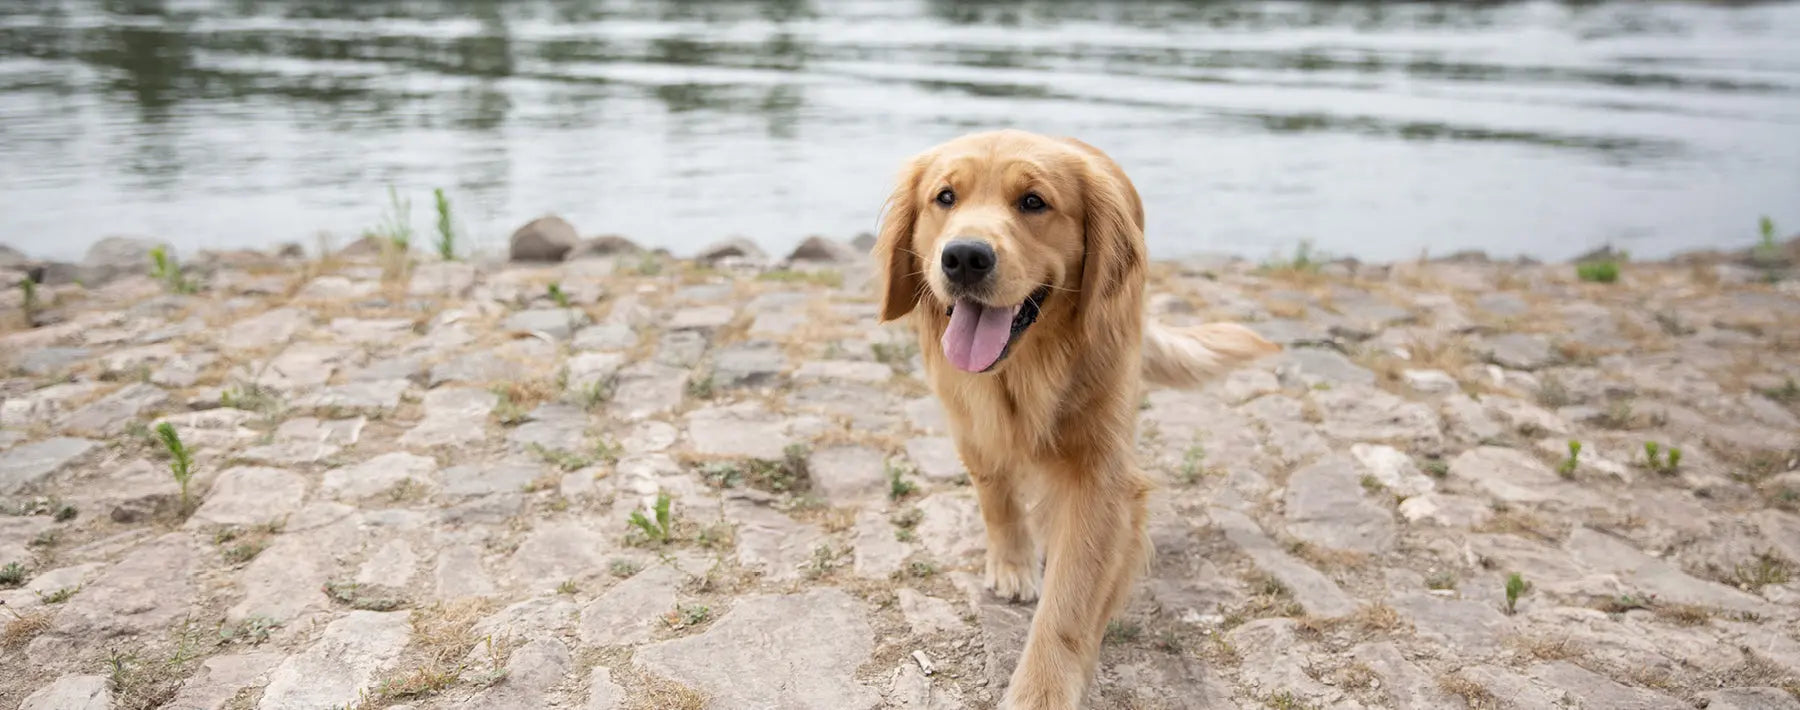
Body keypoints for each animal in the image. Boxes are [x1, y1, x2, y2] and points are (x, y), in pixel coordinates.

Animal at [871, 130, 1281, 706]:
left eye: (1033, 202)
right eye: (945, 197)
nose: (965, 257)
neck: (1026, 371)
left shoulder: (1102, 477)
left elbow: (1070, 600)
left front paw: (1041, 690)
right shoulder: (971, 425)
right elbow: (997, 497)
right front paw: (1013, 562)